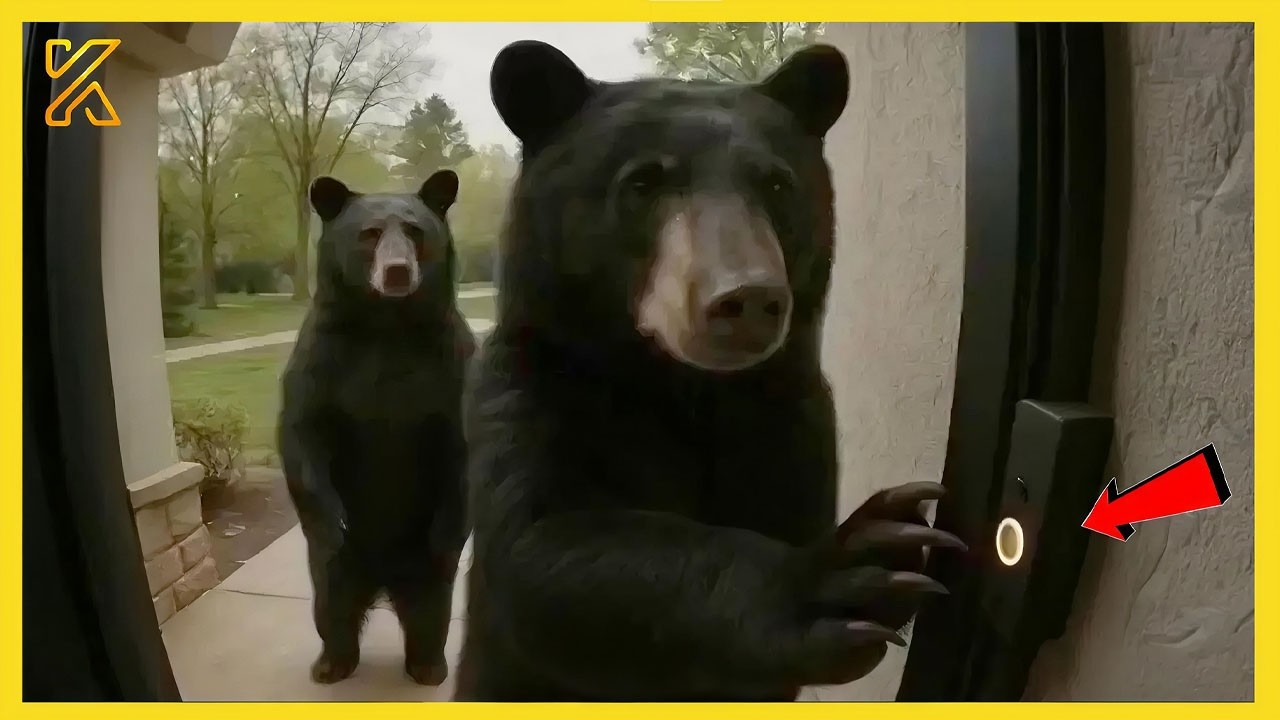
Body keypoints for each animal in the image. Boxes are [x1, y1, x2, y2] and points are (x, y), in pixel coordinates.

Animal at [278, 170, 473, 686]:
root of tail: (384, 583)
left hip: (424, 572)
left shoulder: (450, 363)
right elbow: (303, 429)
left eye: (414, 230)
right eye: (369, 233)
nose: (397, 272)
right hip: (337, 573)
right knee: (331, 606)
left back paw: (429, 666)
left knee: (432, 612)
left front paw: (450, 531)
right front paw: (334, 520)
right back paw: (331, 663)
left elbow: (462, 446)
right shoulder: (323, 357)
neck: (388, 326)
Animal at [453, 41, 968, 702]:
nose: (747, 297)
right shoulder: (531, 386)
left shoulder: (788, 411)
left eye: (775, 181)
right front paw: (857, 567)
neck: (681, 386)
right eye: (643, 181)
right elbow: (544, 544)